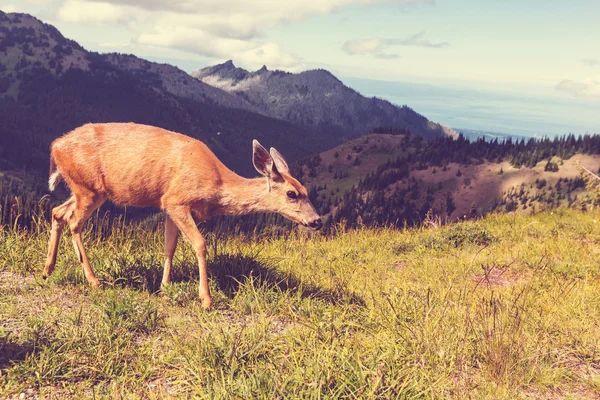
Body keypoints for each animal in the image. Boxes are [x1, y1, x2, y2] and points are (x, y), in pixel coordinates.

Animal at [42, 122, 324, 310]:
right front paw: (206, 299)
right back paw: (93, 280)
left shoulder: (168, 205)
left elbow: (170, 246)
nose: (317, 221)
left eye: (306, 190)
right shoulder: (177, 200)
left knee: (57, 212)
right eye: (291, 193)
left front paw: (164, 286)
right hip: (88, 188)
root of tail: (55, 147)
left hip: (86, 189)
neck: (217, 185)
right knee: (74, 222)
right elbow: (199, 244)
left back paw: (48, 269)